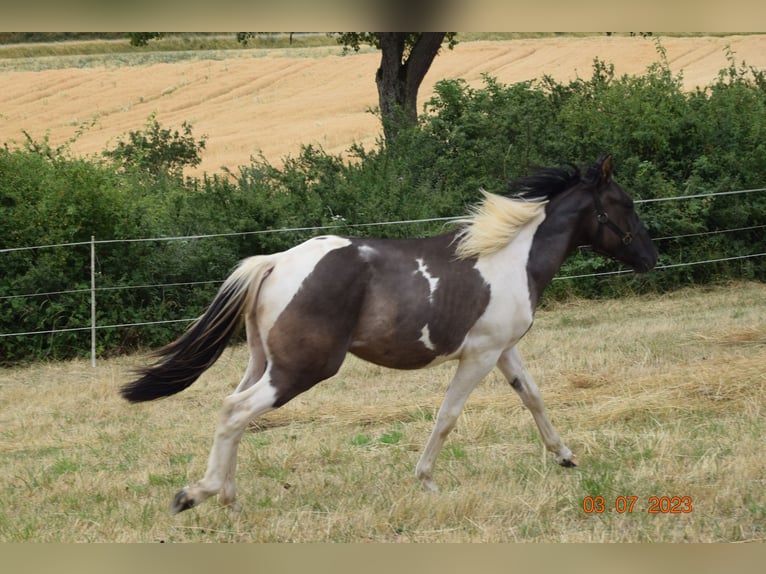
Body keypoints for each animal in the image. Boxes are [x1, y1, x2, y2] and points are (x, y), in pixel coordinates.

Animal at [121, 154, 660, 516]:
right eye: (624, 204)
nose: (651, 258)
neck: (511, 259)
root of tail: (274, 263)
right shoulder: (480, 354)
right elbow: (448, 416)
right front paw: (426, 480)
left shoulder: (504, 349)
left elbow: (533, 398)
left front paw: (566, 457)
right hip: (301, 368)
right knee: (236, 412)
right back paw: (196, 494)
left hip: (263, 362)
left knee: (233, 412)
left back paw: (230, 500)